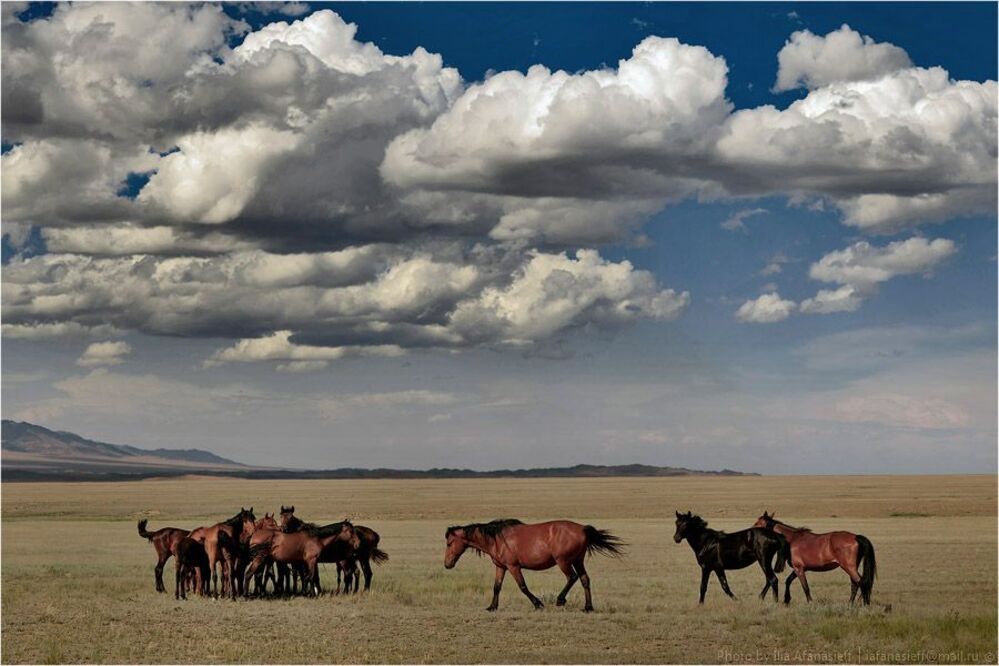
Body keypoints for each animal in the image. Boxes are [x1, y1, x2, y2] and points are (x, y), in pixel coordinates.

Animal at [443, 518, 624, 612]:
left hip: (563, 561)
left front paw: (538, 604)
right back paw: (588, 607)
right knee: (585, 579)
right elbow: (496, 587)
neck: (496, 538)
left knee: (572, 577)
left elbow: (523, 587)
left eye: (449, 543)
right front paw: (492, 607)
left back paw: (560, 600)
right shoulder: (501, 567)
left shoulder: (513, 566)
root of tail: (582, 529)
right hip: (578, 560)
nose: (447, 564)